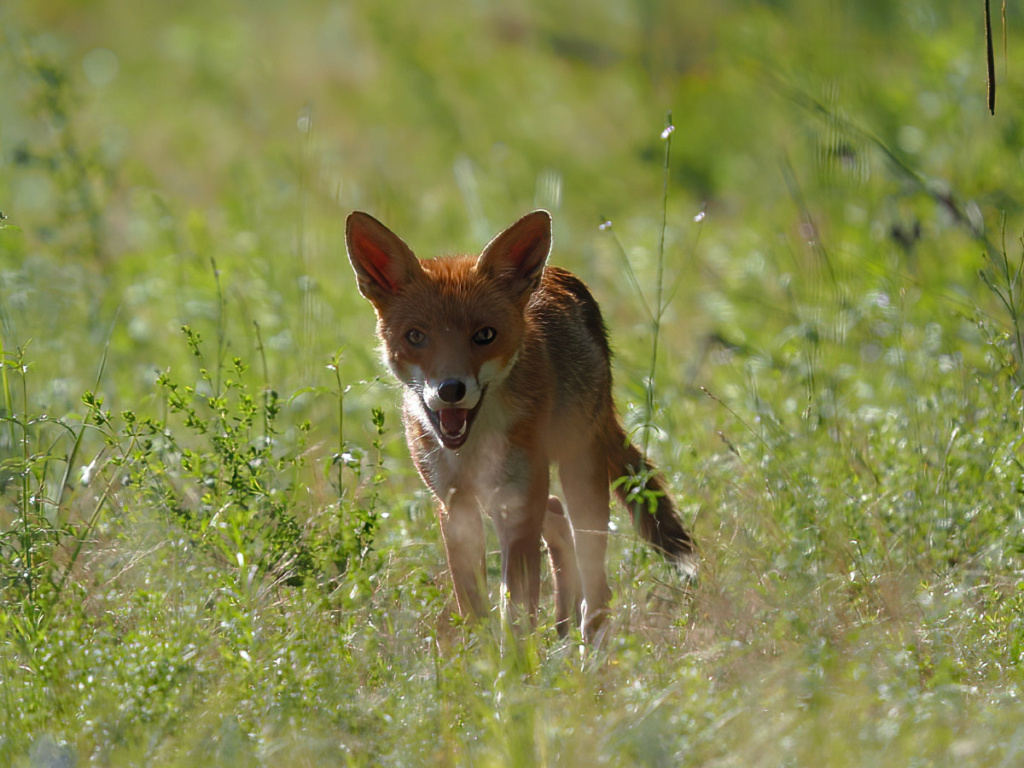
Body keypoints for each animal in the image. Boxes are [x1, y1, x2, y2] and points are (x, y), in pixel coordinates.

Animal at [346, 207, 696, 638]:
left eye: (484, 335)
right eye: (415, 337)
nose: (450, 389)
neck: (473, 446)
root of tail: (560, 275)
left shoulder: (516, 502)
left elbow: (514, 610)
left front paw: (517, 657)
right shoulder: (455, 506)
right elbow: (475, 608)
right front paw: (480, 655)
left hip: (578, 476)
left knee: (596, 586)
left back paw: (586, 646)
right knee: (557, 519)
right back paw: (562, 630)